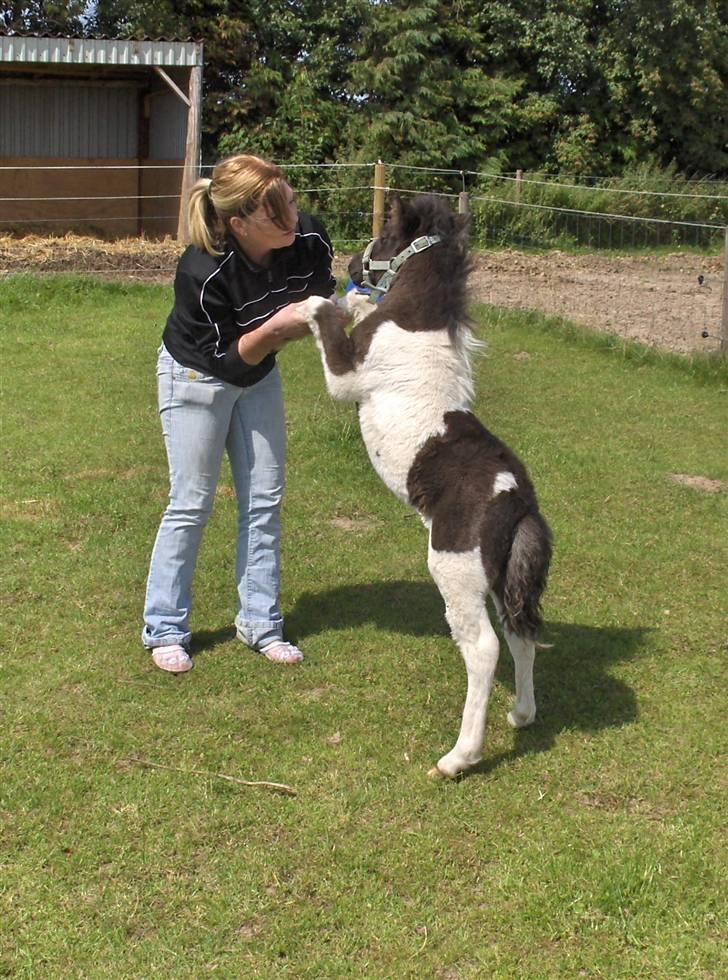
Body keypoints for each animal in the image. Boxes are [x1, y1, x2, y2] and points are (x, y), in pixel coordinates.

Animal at [296, 197, 552, 780]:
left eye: (386, 233)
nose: (349, 263)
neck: (416, 322)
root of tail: (517, 502)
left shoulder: (347, 377)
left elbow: (328, 323)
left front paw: (316, 302)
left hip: (454, 567)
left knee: (484, 648)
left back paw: (459, 757)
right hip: (500, 575)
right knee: (521, 634)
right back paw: (522, 714)